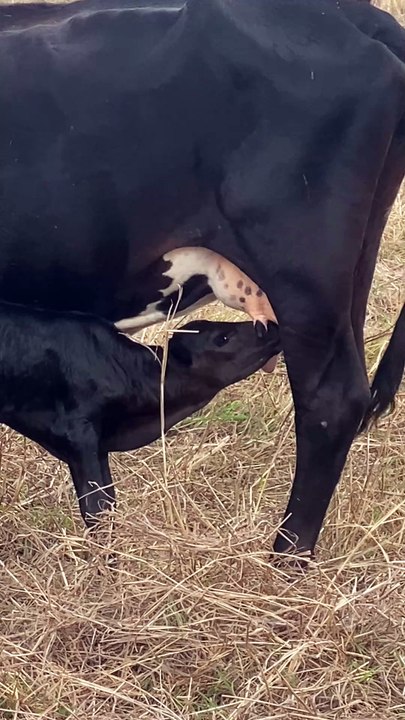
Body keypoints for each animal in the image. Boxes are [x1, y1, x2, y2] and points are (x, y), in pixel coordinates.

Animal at [0, 302, 281, 527]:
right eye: (223, 338)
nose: (271, 326)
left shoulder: (99, 446)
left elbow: (110, 502)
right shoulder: (78, 434)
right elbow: (97, 510)